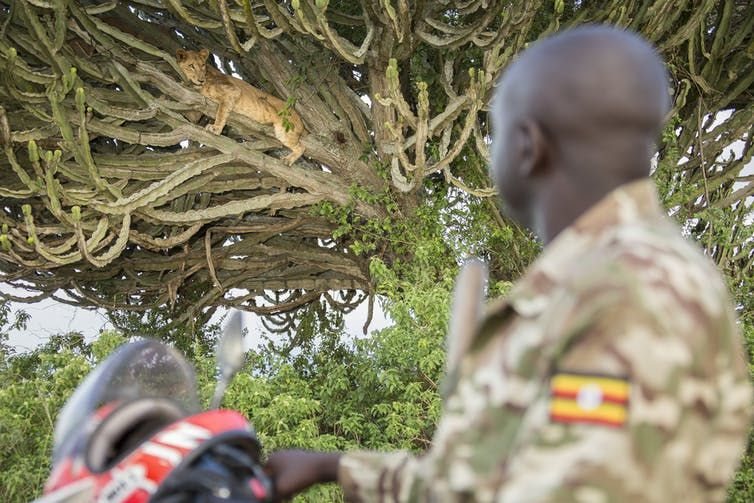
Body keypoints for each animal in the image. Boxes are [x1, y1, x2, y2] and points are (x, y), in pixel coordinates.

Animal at [176, 48, 306, 165]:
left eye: (202, 65)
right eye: (191, 66)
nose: (201, 80)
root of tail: (300, 119)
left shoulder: (233, 91)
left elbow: (221, 112)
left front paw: (215, 128)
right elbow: (193, 113)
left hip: (285, 130)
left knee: (301, 147)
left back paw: (288, 160)